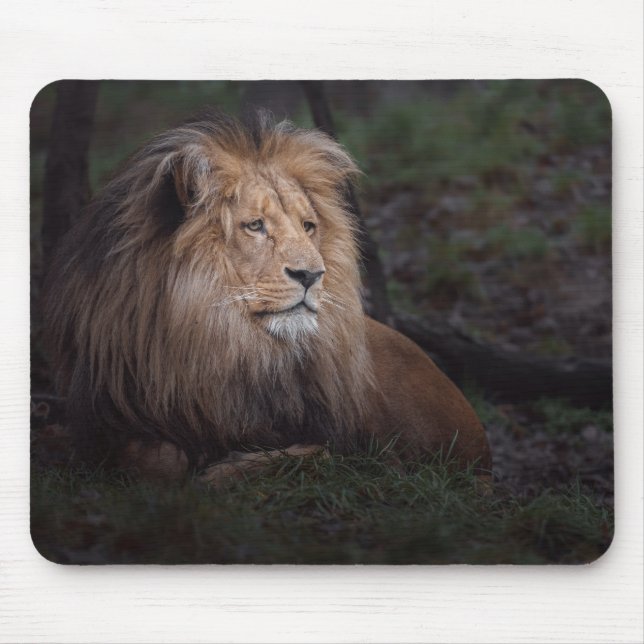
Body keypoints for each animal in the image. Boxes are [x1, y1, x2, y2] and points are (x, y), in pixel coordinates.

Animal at [44, 110, 491, 484]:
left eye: (308, 226)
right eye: (255, 225)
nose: (312, 275)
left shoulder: (334, 431)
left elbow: (319, 451)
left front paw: (223, 471)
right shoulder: (106, 418)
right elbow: (157, 461)